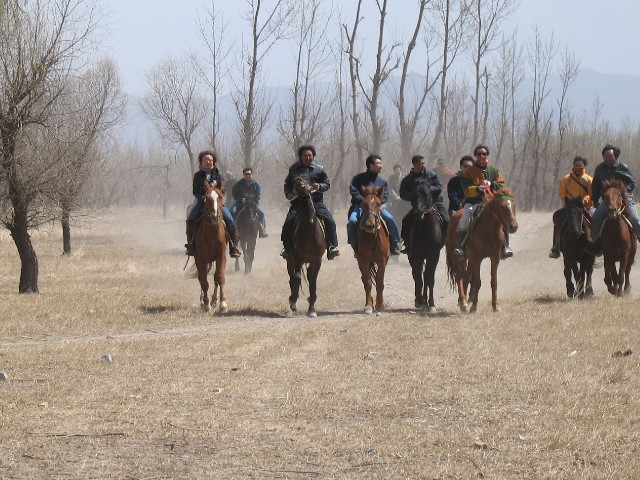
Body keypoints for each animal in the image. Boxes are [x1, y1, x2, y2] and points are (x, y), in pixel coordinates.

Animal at [186, 182, 229, 314]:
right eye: (206, 198)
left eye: (220, 196)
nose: (214, 217)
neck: (211, 233)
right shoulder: (200, 258)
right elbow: (204, 281)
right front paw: (206, 304)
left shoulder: (221, 256)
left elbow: (220, 277)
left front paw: (223, 304)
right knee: (202, 278)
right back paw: (205, 301)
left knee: (215, 278)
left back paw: (214, 300)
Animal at [288, 175, 328, 316]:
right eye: (294, 181)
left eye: (307, 181)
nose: (298, 182)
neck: (310, 229)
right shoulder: (298, 258)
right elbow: (297, 278)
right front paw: (293, 301)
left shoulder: (317, 259)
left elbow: (313, 280)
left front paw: (311, 308)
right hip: (290, 260)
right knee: (292, 278)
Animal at [356, 186, 390, 314]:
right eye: (363, 204)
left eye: (378, 204)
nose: (370, 225)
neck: (372, 238)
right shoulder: (363, 260)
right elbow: (368, 282)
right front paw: (368, 306)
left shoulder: (382, 261)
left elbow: (380, 282)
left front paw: (380, 305)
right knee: (365, 279)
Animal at [410, 179, 444, 312]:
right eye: (413, 195)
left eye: (426, 195)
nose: (418, 213)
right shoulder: (417, 255)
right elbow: (419, 277)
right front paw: (419, 300)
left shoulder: (434, 255)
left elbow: (429, 277)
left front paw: (431, 303)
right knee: (417, 274)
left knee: (426, 275)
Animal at [448, 188, 516, 316]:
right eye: (502, 207)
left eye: (514, 206)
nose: (514, 226)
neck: (488, 230)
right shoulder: (478, 258)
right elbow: (477, 282)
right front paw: (474, 307)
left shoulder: (495, 257)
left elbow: (494, 281)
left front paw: (496, 306)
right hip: (458, 258)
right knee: (459, 277)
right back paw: (463, 302)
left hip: (470, 259)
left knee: (466, 277)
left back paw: (462, 303)